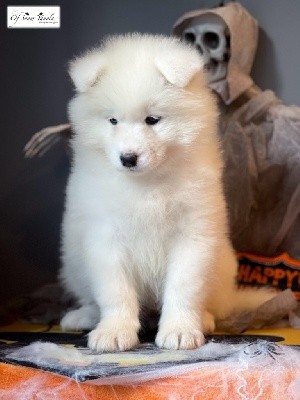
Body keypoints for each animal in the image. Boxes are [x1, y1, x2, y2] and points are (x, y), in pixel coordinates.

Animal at [59, 35, 270, 354]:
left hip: (222, 265)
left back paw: (204, 319)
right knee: (90, 295)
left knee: (213, 303)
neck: (147, 183)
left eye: (152, 119)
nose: (128, 158)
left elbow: (183, 287)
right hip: (74, 262)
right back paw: (83, 315)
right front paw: (114, 331)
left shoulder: (192, 234)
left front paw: (180, 330)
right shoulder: (105, 236)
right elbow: (115, 291)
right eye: (112, 121)